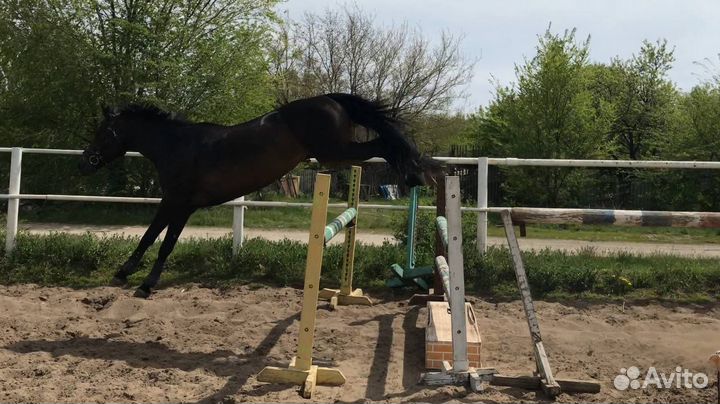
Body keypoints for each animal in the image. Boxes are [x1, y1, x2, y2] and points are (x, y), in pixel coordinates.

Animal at [79, 93, 439, 298]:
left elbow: (162, 241)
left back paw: (415, 173)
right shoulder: (176, 204)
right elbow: (152, 237)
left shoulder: (179, 204)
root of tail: (331, 100)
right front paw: (127, 273)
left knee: (385, 144)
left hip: (335, 151)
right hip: (337, 153)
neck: (177, 146)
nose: (85, 161)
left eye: (103, 132)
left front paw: (144, 283)